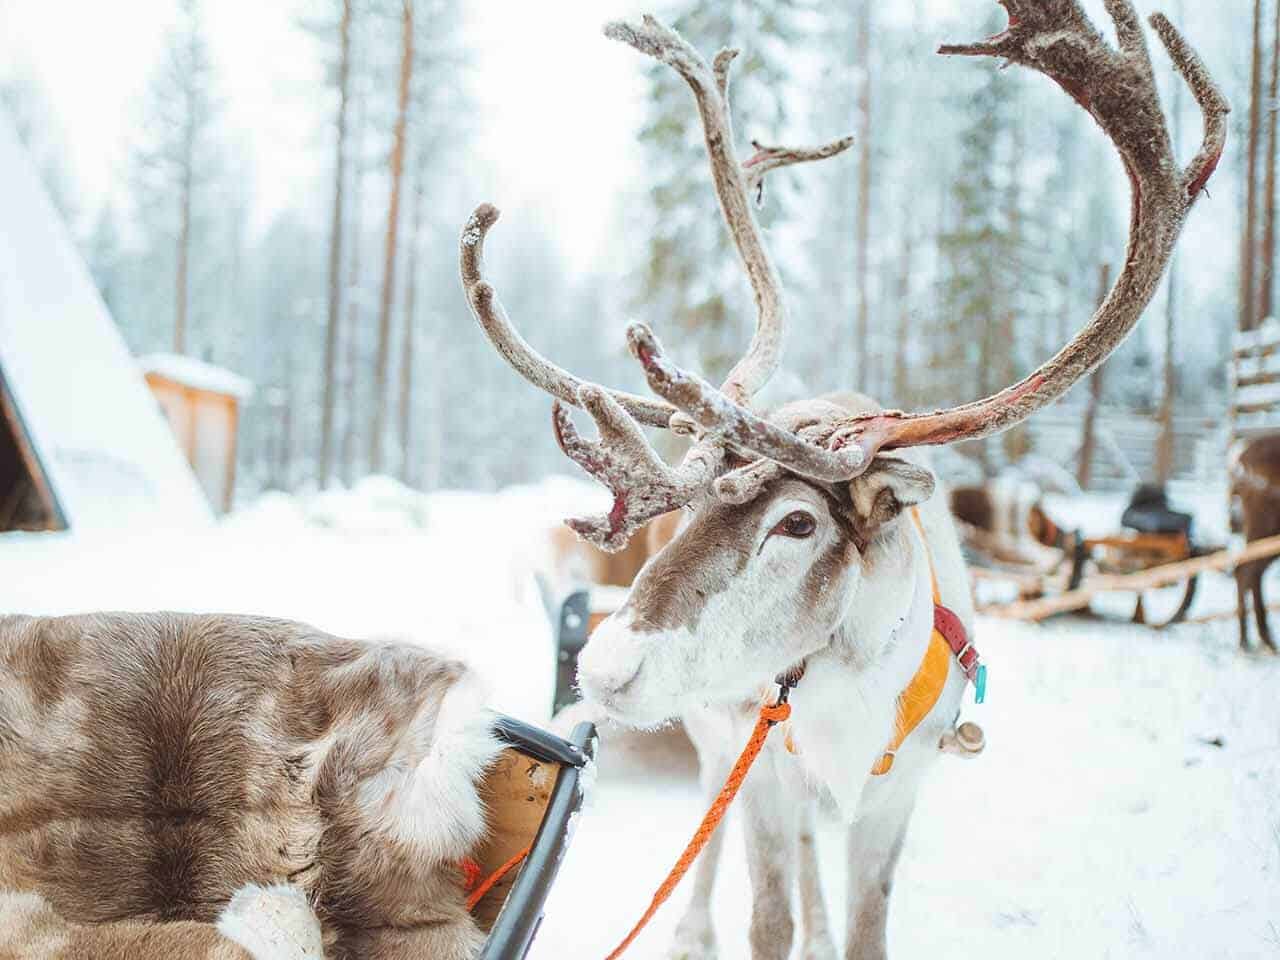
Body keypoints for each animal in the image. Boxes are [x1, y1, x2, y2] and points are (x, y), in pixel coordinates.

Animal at [460, 3, 1226, 958]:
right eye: (695, 513)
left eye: (799, 524)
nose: (603, 667)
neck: (846, 693)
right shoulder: (761, 769)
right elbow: (767, 917)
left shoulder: (896, 792)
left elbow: (866, 926)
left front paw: (837, 934)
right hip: (719, 739)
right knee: (715, 832)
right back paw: (690, 929)